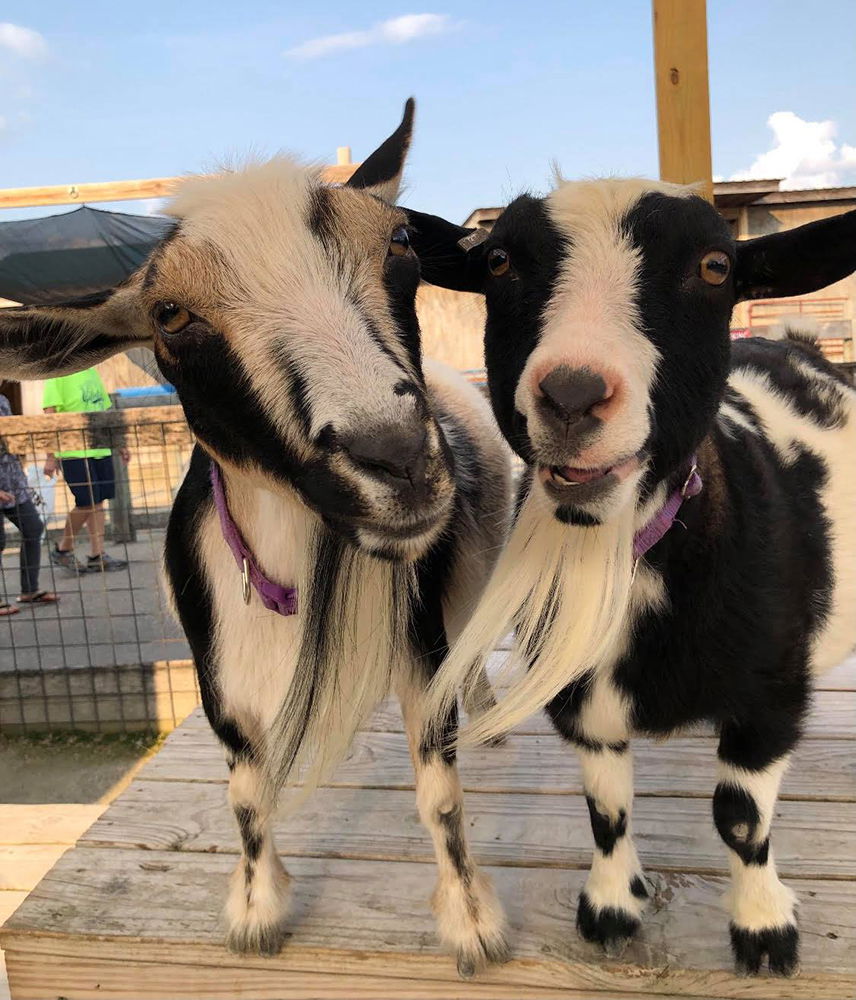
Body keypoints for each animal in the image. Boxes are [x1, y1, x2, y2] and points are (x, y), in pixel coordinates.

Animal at [0, 103, 512, 976]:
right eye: (170, 316)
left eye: (399, 244)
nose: (396, 456)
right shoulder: (219, 677)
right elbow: (245, 795)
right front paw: (255, 912)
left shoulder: (419, 648)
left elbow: (439, 791)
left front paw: (473, 924)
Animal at [410, 182, 856, 976]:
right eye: (497, 261)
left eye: (716, 266)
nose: (572, 394)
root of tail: (799, 340)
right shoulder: (581, 699)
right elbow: (607, 807)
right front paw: (612, 909)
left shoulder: (771, 695)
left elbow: (741, 819)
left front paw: (764, 931)